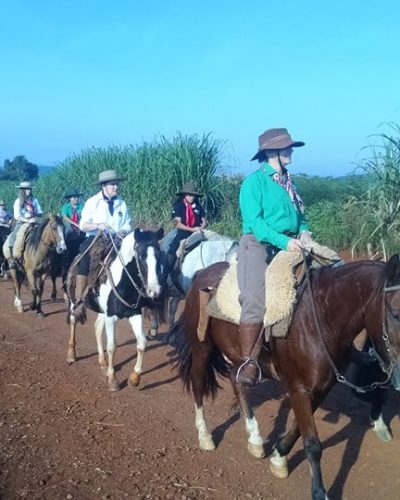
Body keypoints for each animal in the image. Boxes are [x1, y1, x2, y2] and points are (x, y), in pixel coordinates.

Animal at [66, 229, 166, 392]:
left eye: (159, 255)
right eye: (141, 256)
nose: (154, 291)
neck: (123, 280)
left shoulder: (134, 314)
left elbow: (142, 342)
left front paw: (134, 378)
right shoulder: (111, 317)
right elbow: (112, 346)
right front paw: (113, 379)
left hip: (102, 312)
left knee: (97, 329)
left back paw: (103, 363)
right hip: (74, 302)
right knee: (74, 321)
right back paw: (71, 354)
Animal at [168, 256, 400, 498]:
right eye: (396, 314)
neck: (321, 319)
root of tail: (202, 274)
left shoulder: (321, 388)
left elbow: (298, 429)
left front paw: (278, 457)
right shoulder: (299, 388)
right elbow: (312, 443)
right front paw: (319, 491)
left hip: (237, 355)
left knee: (236, 381)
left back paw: (255, 438)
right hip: (201, 347)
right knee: (198, 383)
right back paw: (205, 436)